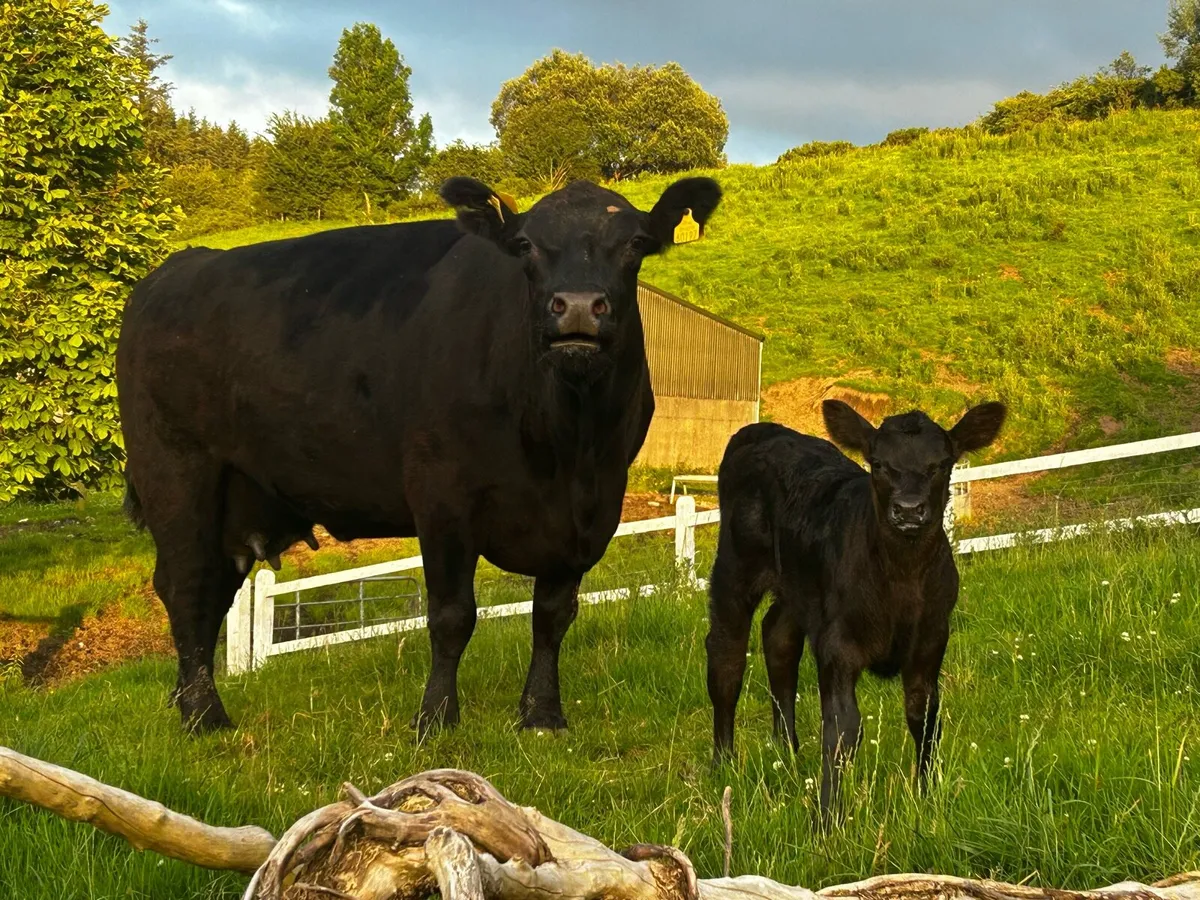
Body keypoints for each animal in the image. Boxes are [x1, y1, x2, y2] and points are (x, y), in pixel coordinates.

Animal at [116, 174, 722, 734]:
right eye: (524, 245)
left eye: (636, 243)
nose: (575, 307)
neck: (563, 445)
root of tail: (175, 268)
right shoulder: (442, 495)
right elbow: (452, 615)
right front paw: (435, 719)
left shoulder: (593, 506)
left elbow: (553, 614)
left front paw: (542, 714)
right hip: (174, 469)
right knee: (186, 584)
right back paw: (203, 715)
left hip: (238, 494)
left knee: (214, 588)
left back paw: (187, 701)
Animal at [705, 399, 1006, 818]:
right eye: (878, 463)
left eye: (942, 464)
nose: (908, 510)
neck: (900, 581)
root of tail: (763, 429)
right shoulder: (837, 645)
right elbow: (843, 729)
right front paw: (827, 817)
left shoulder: (931, 639)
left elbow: (924, 715)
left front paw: (927, 796)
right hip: (735, 566)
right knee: (726, 656)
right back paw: (724, 763)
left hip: (799, 586)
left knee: (778, 637)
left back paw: (788, 753)